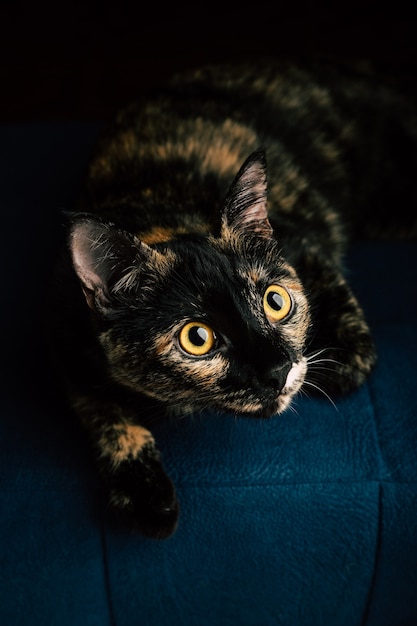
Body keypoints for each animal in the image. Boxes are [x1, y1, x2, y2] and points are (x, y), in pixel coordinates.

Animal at [48, 58, 416, 536]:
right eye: (197, 338)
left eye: (276, 301)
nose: (278, 370)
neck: (161, 212)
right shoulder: (67, 337)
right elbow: (101, 411)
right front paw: (145, 494)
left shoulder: (303, 242)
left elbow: (354, 350)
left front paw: (337, 360)